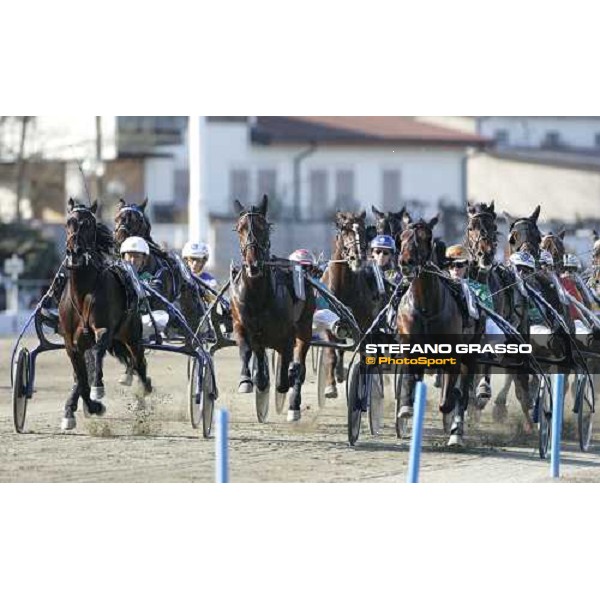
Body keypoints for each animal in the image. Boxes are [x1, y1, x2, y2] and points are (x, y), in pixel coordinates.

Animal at [58, 202, 151, 432]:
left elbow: (98, 352)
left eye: (89, 224)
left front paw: (98, 388)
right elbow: (81, 380)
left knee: (139, 362)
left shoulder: (105, 329)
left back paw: (144, 389)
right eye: (68, 222)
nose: (74, 251)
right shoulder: (71, 345)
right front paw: (93, 407)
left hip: (131, 335)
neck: (83, 293)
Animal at [230, 196, 316, 422]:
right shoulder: (246, 327)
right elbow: (250, 354)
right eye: (240, 228)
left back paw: (294, 405)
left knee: (299, 365)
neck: (259, 296)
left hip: (305, 327)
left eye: (263, 228)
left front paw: (285, 385)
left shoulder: (288, 335)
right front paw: (247, 381)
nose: (253, 265)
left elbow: (286, 376)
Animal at [396, 216, 486, 446]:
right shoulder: (410, 347)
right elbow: (410, 378)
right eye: (402, 237)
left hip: (471, 354)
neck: (426, 308)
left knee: (462, 391)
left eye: (425, 237)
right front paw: (406, 407)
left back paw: (456, 432)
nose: (406, 262)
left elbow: (449, 400)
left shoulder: (452, 356)